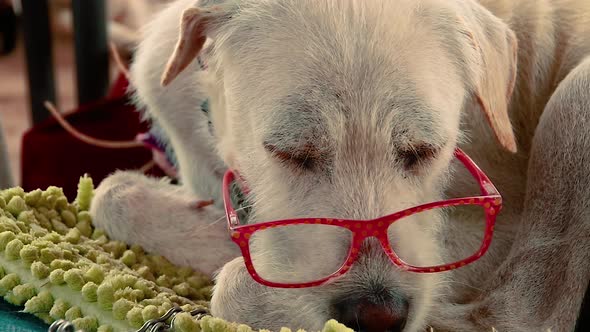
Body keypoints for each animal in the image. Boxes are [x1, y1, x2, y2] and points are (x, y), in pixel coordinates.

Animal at [89, 1, 590, 330]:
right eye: (292, 153)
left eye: (423, 151)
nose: (378, 316)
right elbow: (108, 195)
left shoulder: (493, 229)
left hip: (573, 98)